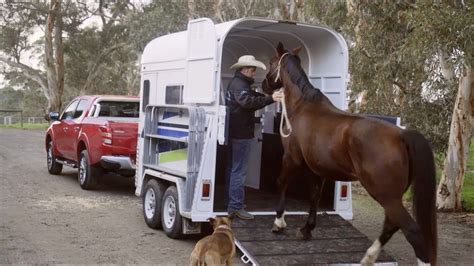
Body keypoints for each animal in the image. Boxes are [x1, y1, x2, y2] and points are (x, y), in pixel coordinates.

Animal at [262, 42, 436, 264]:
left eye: (271, 62)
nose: (264, 86)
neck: (303, 107)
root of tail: (401, 135)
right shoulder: (317, 169)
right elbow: (314, 196)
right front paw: (307, 229)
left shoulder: (291, 158)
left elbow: (282, 183)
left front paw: (279, 223)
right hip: (392, 197)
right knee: (391, 225)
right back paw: (369, 257)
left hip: (385, 195)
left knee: (411, 230)